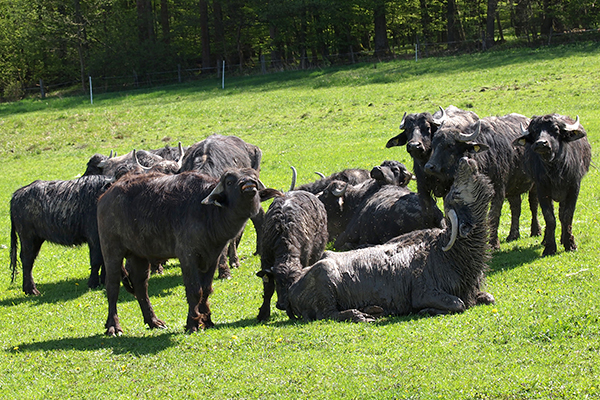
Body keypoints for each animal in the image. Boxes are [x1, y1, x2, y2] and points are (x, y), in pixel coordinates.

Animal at [98, 167, 282, 336]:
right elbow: (194, 290)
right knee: (112, 286)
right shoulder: (187, 256)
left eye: (254, 177)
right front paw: (192, 323)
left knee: (141, 286)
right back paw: (113, 327)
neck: (208, 213)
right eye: (230, 181)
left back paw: (153, 321)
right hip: (111, 250)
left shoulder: (213, 256)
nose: (249, 184)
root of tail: (105, 196)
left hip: (139, 255)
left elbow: (206, 289)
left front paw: (207, 320)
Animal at [254, 188, 326, 322]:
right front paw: (263, 313)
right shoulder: (265, 259)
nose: (282, 305)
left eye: (292, 283)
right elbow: (268, 288)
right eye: (278, 281)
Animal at [288, 156, 494, 322]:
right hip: (325, 280)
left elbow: (487, 298)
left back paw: (372, 309)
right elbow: (458, 303)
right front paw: (426, 310)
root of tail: (292, 288)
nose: (465, 160)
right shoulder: (425, 293)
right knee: (328, 314)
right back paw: (359, 315)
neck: (448, 255)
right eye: (455, 192)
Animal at [422, 112, 540, 248]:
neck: (484, 158)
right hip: (513, 187)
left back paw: (536, 231)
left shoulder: (498, 191)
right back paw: (513, 235)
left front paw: (493, 243)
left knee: (533, 205)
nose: (429, 167)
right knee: (516, 207)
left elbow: (493, 215)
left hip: (534, 185)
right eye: (434, 144)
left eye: (450, 145)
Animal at [512, 114, 592, 256]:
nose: (541, 143)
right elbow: (549, 217)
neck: (556, 169)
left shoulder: (574, 188)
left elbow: (567, 216)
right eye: (535, 131)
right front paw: (549, 247)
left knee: (561, 214)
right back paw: (546, 240)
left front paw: (570, 244)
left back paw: (563, 238)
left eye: (555, 129)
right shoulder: (542, 189)